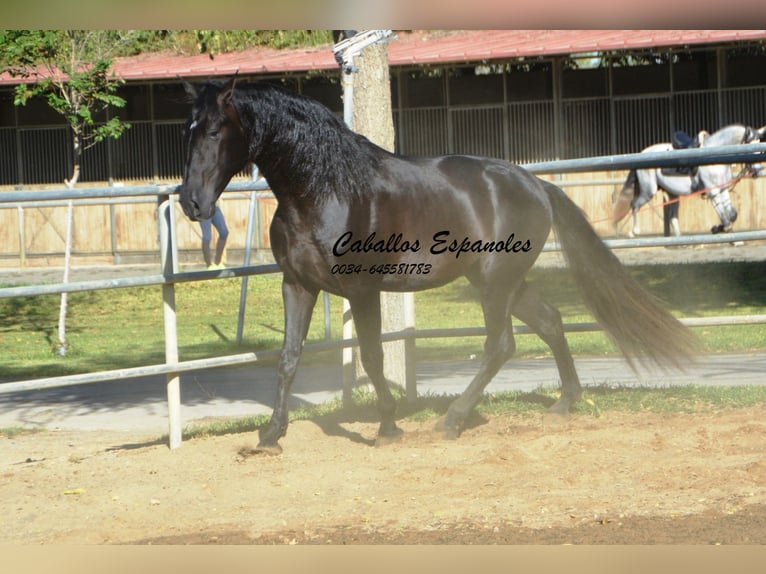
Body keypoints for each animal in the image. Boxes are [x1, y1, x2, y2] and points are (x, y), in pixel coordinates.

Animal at [182, 79, 704, 454]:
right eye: (189, 131)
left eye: (215, 131)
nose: (191, 202)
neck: (324, 191)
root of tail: (536, 185)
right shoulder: (297, 286)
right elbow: (288, 359)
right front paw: (270, 437)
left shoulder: (362, 291)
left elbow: (372, 358)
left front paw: (388, 426)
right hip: (506, 283)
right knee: (551, 323)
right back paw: (563, 405)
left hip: (494, 285)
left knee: (501, 345)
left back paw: (451, 421)